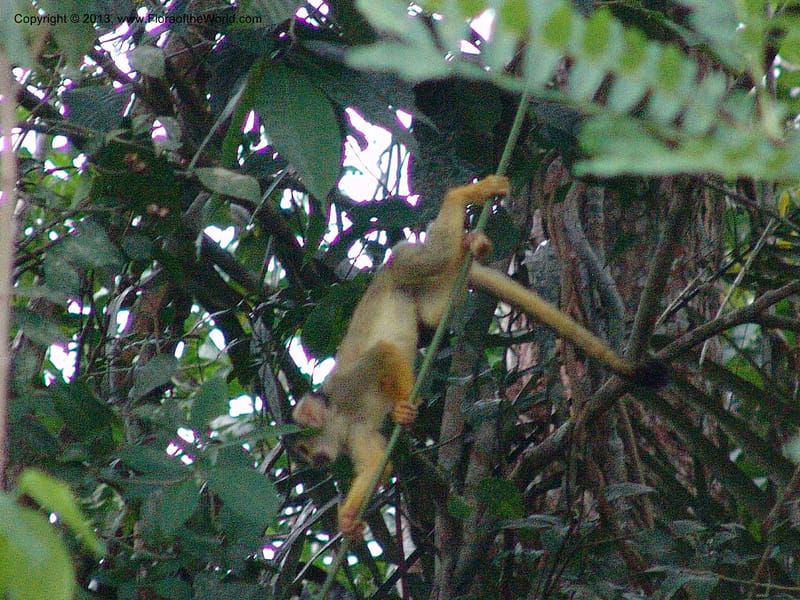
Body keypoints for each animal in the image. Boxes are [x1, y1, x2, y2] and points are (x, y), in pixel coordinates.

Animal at [292, 175, 664, 538]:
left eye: (306, 451)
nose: (317, 463)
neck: (337, 414)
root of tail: (379, 275)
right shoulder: (350, 432)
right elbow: (376, 466)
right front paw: (348, 521)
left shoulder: (345, 385)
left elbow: (382, 354)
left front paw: (406, 409)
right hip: (418, 288)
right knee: (433, 312)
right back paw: (464, 255)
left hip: (403, 264)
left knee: (432, 256)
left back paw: (461, 200)